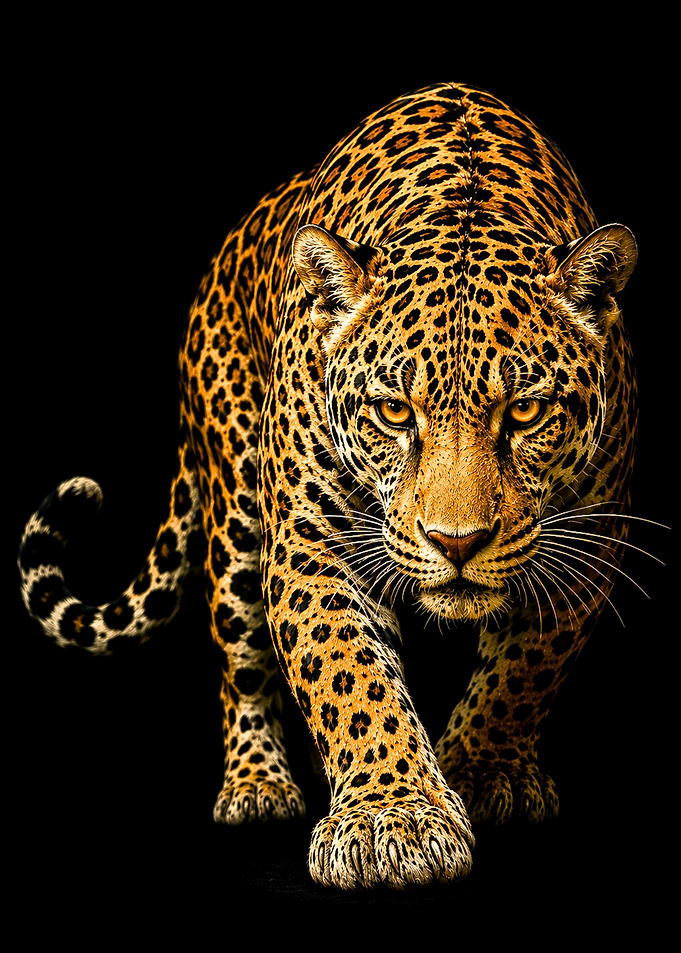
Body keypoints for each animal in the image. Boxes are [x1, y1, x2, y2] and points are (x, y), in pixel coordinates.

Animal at [19, 82, 638, 891]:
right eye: (394, 411)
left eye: (526, 412)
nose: (457, 543)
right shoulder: (315, 548)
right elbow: (350, 677)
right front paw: (391, 819)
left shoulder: (590, 538)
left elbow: (523, 671)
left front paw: (480, 770)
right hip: (237, 516)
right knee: (241, 657)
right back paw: (256, 785)